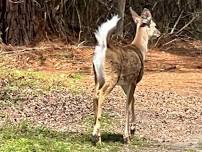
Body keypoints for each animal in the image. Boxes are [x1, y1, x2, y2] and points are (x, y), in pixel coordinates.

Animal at [92, 7, 161, 145]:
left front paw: (133, 129)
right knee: (100, 95)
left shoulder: (125, 83)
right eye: (154, 24)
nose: (159, 33)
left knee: (94, 95)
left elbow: (132, 100)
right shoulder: (133, 80)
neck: (139, 49)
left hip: (98, 77)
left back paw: (97, 136)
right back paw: (96, 135)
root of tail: (104, 48)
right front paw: (126, 136)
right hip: (112, 77)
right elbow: (127, 105)